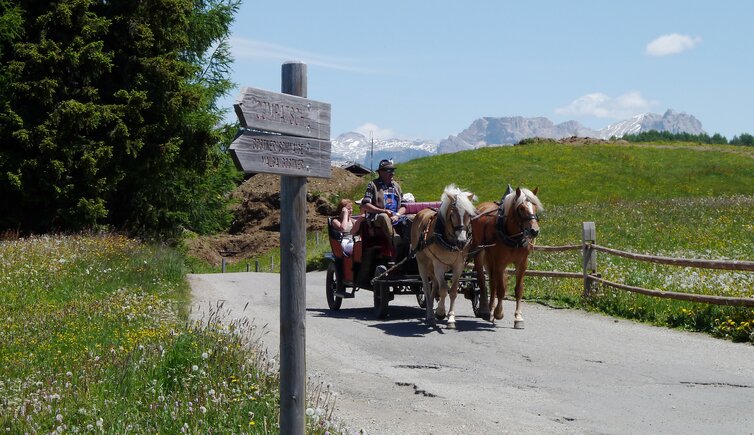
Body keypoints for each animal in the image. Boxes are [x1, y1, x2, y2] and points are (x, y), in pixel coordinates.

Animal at [408, 185, 472, 330]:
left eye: (469, 214)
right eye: (452, 213)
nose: (462, 241)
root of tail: (420, 212)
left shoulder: (459, 265)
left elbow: (452, 291)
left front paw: (451, 318)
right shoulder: (439, 264)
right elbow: (443, 290)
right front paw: (441, 312)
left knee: (434, 285)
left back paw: (430, 311)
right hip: (423, 262)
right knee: (427, 288)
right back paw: (431, 315)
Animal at [470, 186, 540, 328]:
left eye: (535, 206)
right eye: (521, 208)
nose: (534, 231)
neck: (513, 236)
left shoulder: (522, 264)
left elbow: (518, 290)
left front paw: (518, 317)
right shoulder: (500, 263)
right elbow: (501, 290)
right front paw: (498, 313)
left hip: (490, 258)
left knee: (492, 283)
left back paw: (490, 310)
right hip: (479, 254)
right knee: (482, 281)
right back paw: (486, 310)